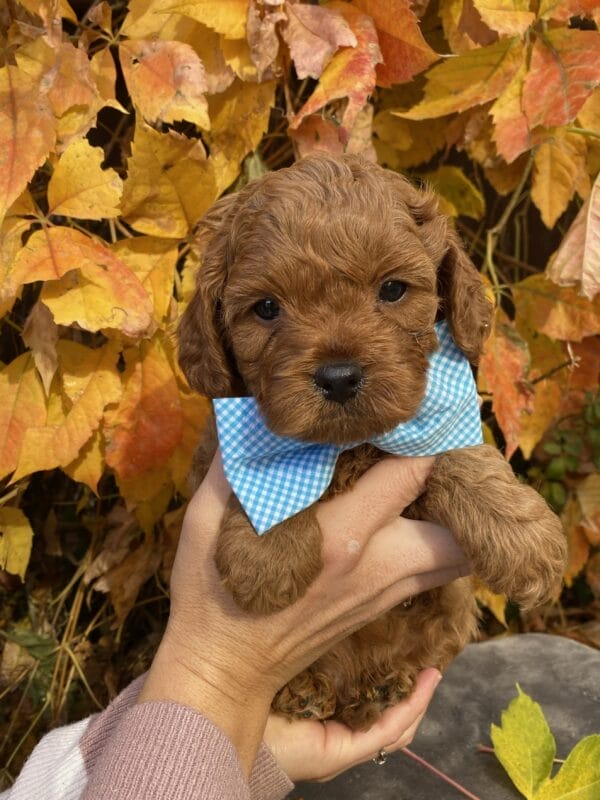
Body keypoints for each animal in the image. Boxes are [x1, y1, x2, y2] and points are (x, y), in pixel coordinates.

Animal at [179, 155, 568, 732]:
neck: (347, 448)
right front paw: (266, 551)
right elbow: (258, 476)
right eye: (266, 308)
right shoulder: (219, 441)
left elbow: (462, 457)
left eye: (392, 290)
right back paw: (308, 689)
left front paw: (525, 541)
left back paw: (381, 686)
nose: (339, 376)